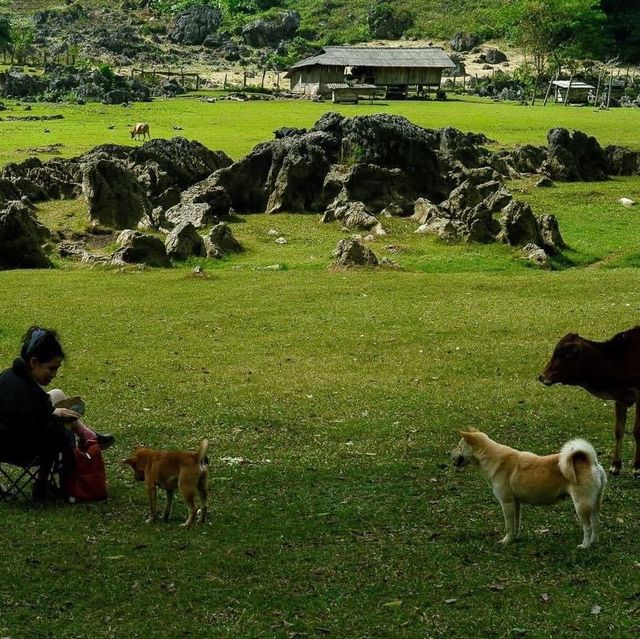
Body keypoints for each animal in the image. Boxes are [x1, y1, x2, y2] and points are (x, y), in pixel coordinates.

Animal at [450, 430, 604, 552]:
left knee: (588, 527)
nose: (449, 453)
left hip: (581, 506)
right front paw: (515, 538)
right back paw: (594, 542)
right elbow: (516, 523)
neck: (492, 458)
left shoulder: (506, 503)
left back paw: (585, 545)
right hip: (594, 504)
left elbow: (508, 526)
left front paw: (506, 541)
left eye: (459, 447)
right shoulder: (516, 503)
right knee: (596, 523)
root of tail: (590, 461)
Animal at [540, 328, 640, 478]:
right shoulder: (620, 398)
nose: (542, 376)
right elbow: (619, 430)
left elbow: (637, 431)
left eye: (565, 354)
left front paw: (637, 467)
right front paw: (615, 466)